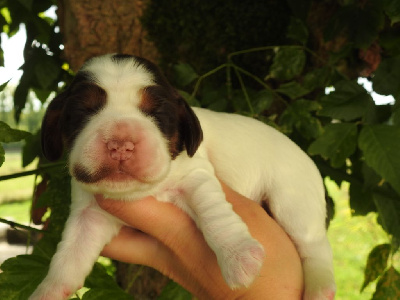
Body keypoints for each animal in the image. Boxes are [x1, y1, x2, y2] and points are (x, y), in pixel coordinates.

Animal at [31, 54, 336, 300]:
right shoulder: (89, 214)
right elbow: (69, 256)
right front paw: (48, 290)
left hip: (293, 199)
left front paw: (238, 256)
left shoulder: (196, 176)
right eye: (83, 111)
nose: (120, 144)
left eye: (156, 113)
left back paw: (320, 289)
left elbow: (215, 216)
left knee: (315, 247)